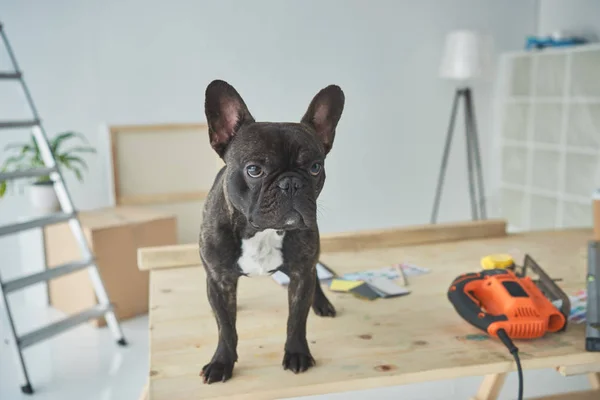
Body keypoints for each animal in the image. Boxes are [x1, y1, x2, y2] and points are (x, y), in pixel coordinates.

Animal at [199, 79, 344, 382]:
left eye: (315, 167)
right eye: (254, 170)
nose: (291, 183)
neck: (261, 232)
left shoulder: (300, 274)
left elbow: (296, 320)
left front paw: (297, 353)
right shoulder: (217, 280)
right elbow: (226, 328)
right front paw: (222, 362)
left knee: (316, 272)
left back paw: (322, 302)